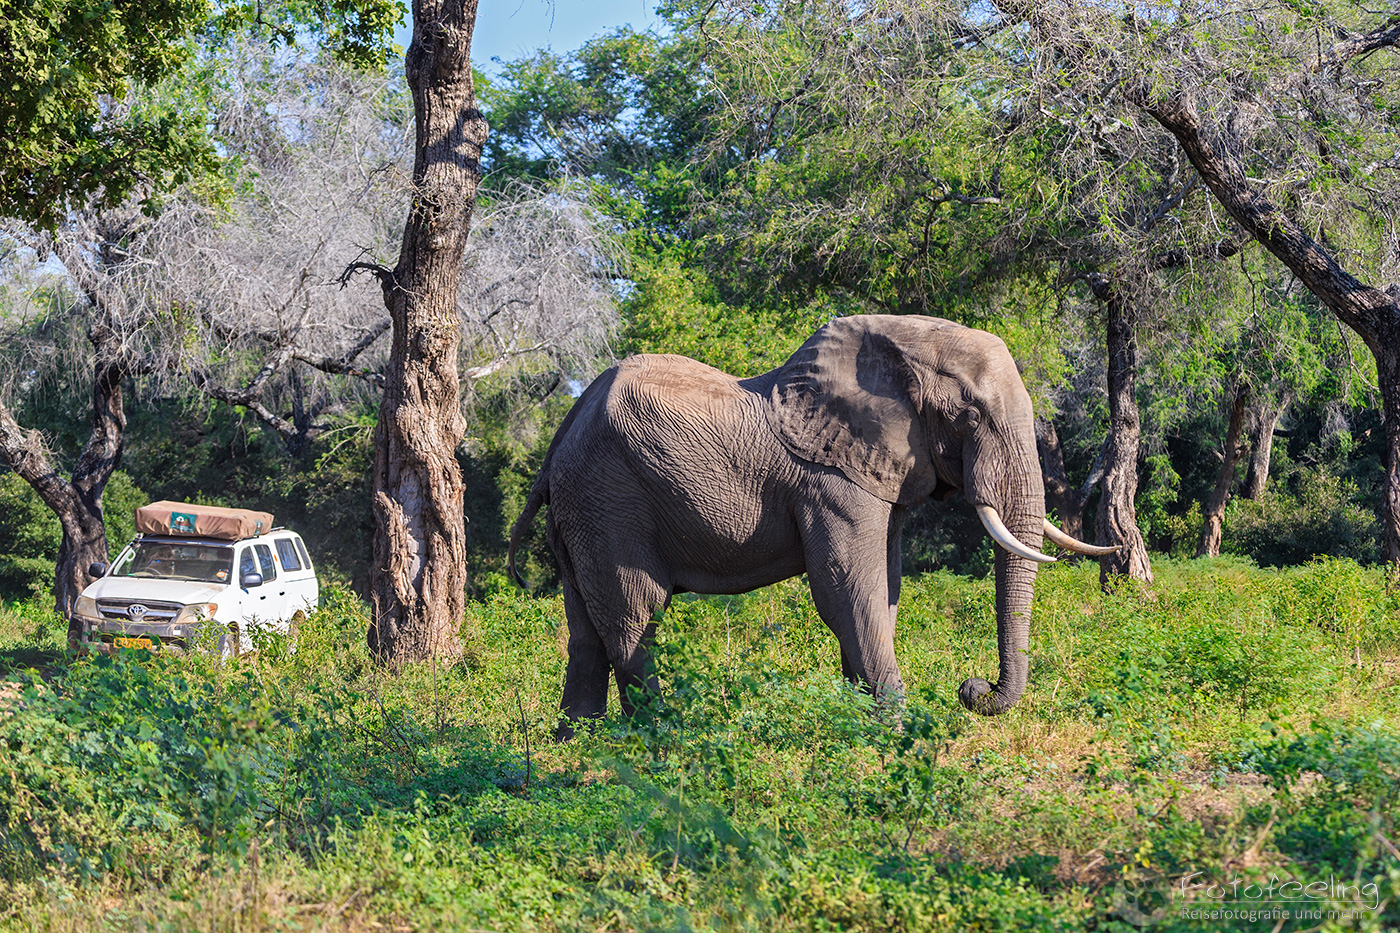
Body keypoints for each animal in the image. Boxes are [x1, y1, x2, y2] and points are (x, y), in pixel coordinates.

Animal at [507, 314, 1113, 739]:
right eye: (968, 416)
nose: (973, 688)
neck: (899, 344)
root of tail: (558, 441)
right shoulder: (831, 480)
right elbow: (846, 586)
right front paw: (898, 734)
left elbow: (882, 590)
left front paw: (859, 720)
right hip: (608, 498)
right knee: (633, 614)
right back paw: (657, 740)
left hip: (583, 509)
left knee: (585, 626)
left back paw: (578, 745)